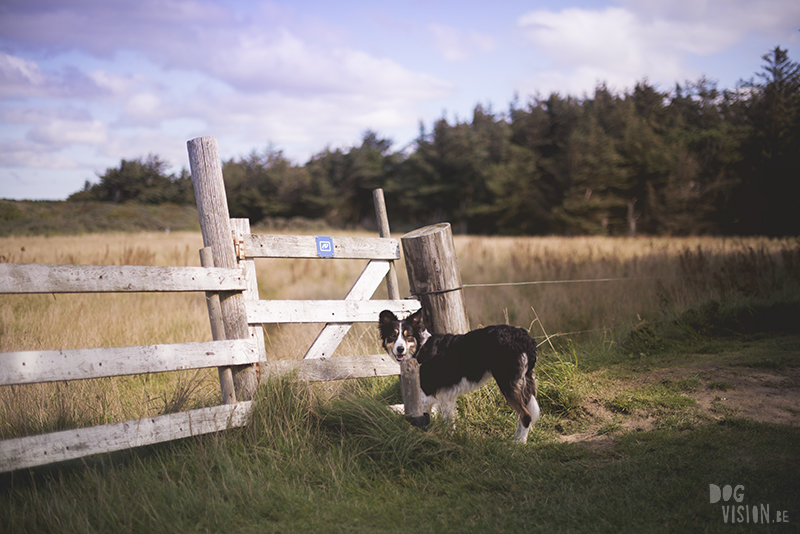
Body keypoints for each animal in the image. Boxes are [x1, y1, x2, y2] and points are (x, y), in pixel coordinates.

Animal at [378, 308, 540, 446]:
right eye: (393, 335)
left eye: (408, 336)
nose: (400, 349)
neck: (420, 348)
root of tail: (524, 337)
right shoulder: (445, 397)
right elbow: (448, 420)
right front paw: (448, 437)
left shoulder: (426, 395)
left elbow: (424, 419)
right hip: (521, 383)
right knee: (523, 412)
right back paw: (515, 437)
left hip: (507, 384)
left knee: (525, 415)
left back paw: (521, 442)